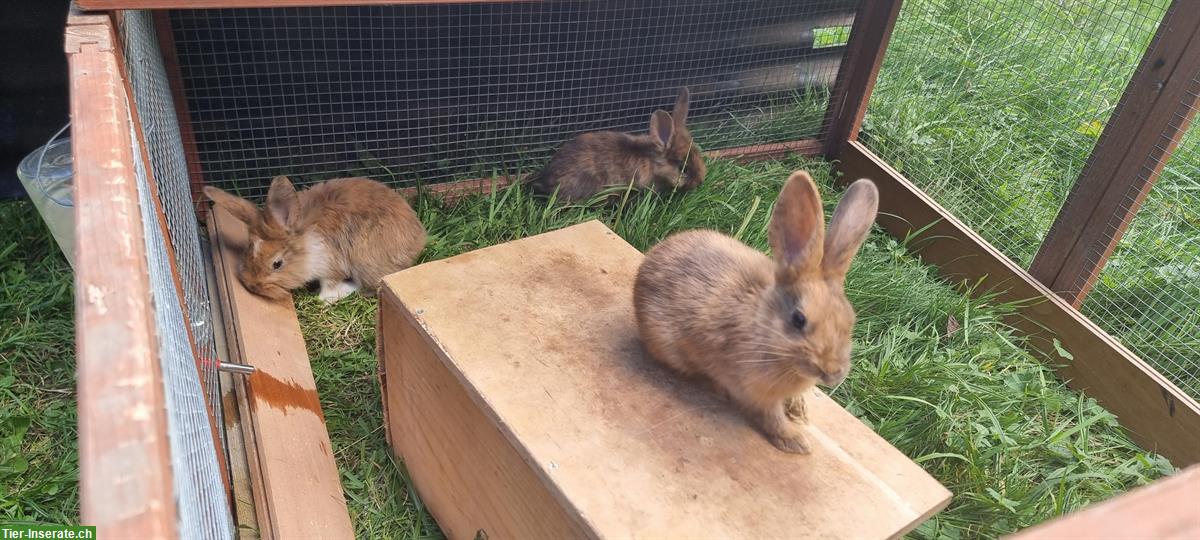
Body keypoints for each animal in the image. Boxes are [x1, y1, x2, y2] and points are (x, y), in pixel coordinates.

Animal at [204, 175, 427, 304]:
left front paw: (324, 300)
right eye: (247, 253)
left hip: (366, 262)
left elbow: (330, 283)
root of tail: (419, 237)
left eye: (277, 264)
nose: (253, 286)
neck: (306, 245)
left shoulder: (331, 265)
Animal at [633, 171, 879, 454]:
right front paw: (796, 441)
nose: (833, 372)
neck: (764, 328)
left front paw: (799, 411)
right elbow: (771, 418)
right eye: (798, 320)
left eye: (850, 321)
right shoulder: (757, 393)